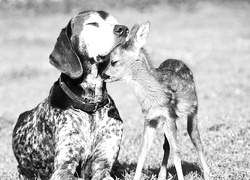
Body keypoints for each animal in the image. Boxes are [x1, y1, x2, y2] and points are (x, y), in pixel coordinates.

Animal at [11, 11, 128, 180]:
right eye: (92, 24)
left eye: (115, 21)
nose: (123, 29)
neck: (91, 105)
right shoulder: (64, 166)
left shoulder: (103, 163)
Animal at [102, 22, 210, 180]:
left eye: (114, 61)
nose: (103, 74)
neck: (154, 96)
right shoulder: (150, 119)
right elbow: (143, 152)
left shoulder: (169, 114)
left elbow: (177, 152)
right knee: (166, 146)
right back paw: (161, 175)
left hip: (193, 110)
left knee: (195, 137)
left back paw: (207, 172)